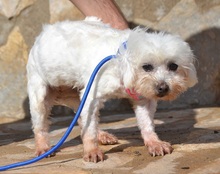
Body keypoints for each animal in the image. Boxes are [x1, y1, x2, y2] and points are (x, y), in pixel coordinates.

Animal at [26, 17, 197, 162]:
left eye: (173, 66)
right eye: (147, 66)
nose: (163, 88)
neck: (120, 60)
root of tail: (44, 31)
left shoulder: (143, 99)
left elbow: (147, 124)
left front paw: (154, 143)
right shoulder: (92, 96)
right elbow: (89, 130)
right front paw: (92, 151)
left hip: (76, 96)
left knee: (82, 119)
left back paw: (102, 135)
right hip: (40, 93)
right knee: (40, 126)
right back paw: (43, 147)